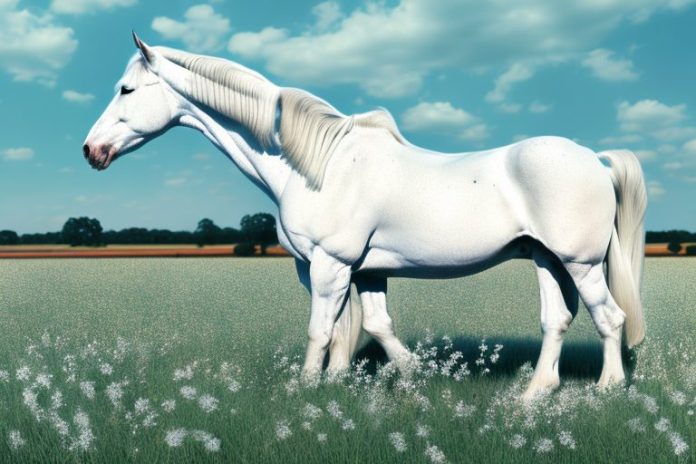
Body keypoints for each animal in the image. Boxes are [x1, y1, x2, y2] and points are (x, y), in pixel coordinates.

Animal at [84, 33, 647, 399]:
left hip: (579, 263)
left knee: (610, 317)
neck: (318, 165)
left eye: (126, 90)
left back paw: (607, 389)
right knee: (557, 320)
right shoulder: (367, 271)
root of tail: (594, 158)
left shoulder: (327, 264)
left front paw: (306, 391)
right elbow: (369, 326)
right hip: (546, 259)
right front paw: (402, 374)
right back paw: (535, 394)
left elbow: (321, 330)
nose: (92, 151)